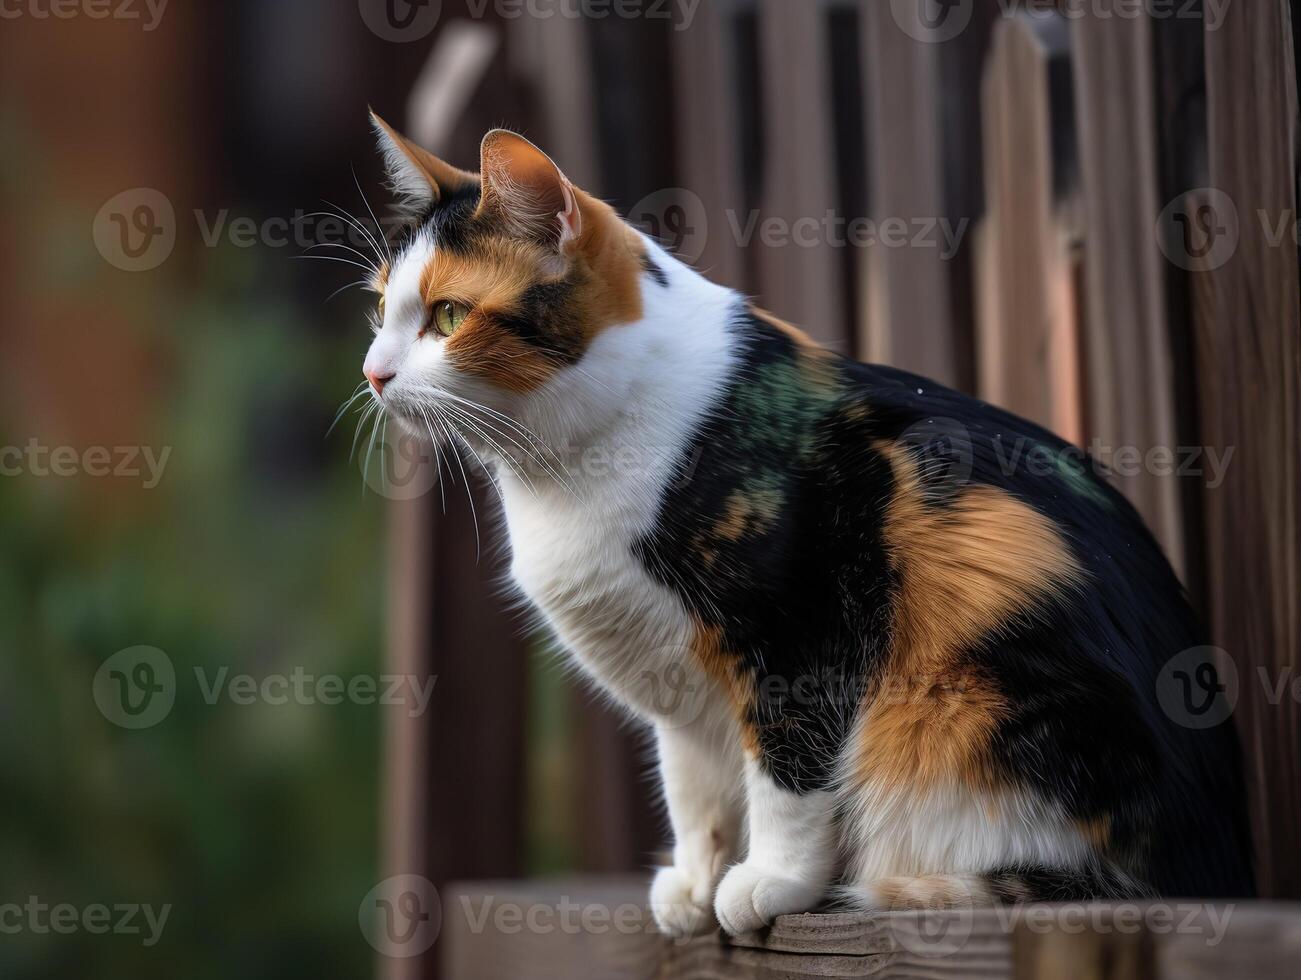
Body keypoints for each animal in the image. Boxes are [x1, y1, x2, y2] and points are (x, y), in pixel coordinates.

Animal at [353, 114, 1248, 931]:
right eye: (379, 310)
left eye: (447, 316)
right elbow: (694, 787)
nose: (372, 373)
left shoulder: (800, 630)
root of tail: (1215, 859)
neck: (563, 469)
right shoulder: (678, 690)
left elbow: (788, 768)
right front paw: (695, 883)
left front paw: (768, 883)